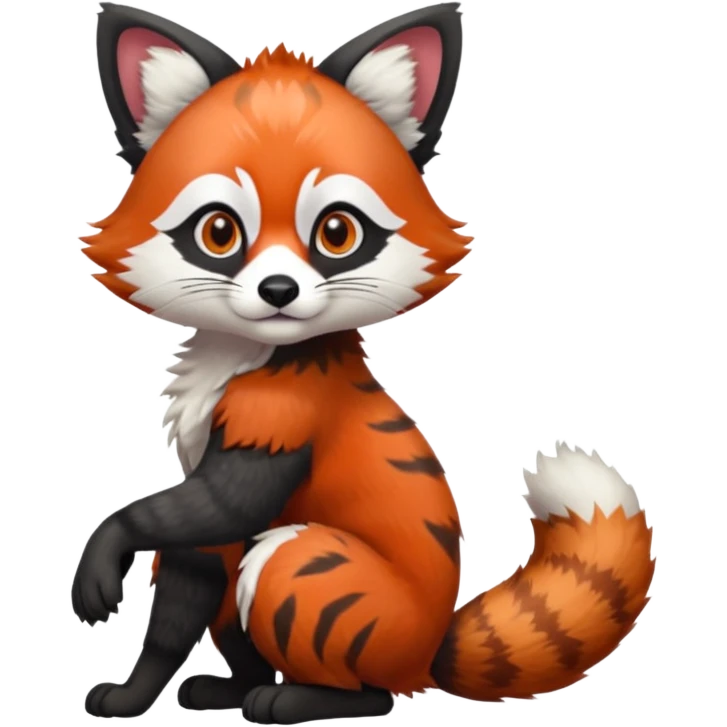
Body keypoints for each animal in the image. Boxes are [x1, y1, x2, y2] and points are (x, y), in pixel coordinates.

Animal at [73, 2, 656, 723]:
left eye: (336, 233)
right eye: (219, 232)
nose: (278, 291)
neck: (241, 358)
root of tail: (429, 649)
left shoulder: (280, 420)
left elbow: (216, 508)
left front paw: (103, 549)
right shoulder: (201, 486)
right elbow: (177, 598)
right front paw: (133, 696)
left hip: (307, 567)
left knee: (370, 688)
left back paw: (295, 697)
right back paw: (230, 687)